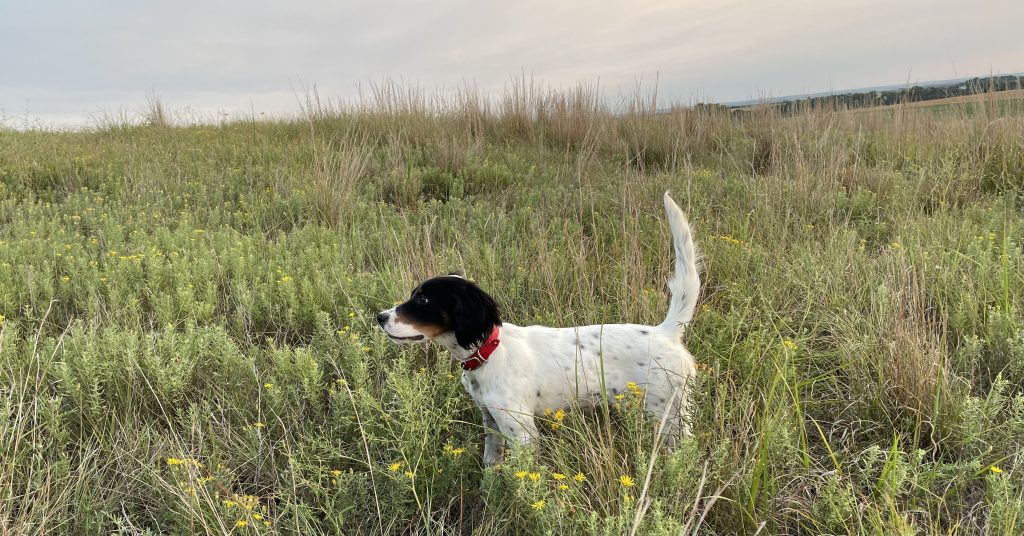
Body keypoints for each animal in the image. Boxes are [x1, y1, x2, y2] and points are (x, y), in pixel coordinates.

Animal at [380, 192, 700, 465]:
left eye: (423, 299)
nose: (380, 317)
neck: (489, 350)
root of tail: (665, 332)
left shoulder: (521, 432)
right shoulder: (490, 420)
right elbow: (491, 466)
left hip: (667, 414)